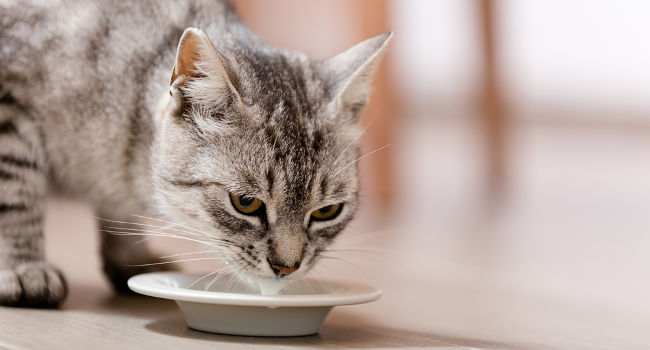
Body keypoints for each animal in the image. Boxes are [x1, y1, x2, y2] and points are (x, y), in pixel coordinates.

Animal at [0, 0, 390, 306]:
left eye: (327, 211)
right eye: (246, 203)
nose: (286, 267)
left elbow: (118, 214)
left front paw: (130, 257)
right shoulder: (10, 106)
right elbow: (17, 197)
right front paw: (23, 267)